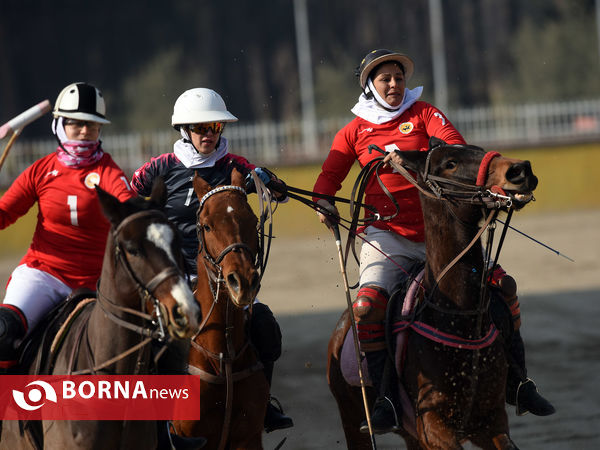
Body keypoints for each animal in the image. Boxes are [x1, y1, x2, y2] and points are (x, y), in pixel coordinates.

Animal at [328, 139, 540, 448]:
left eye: (478, 149)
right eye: (450, 163)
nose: (520, 170)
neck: (457, 319)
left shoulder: (492, 421)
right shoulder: (432, 425)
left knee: (507, 284)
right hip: (351, 415)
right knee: (367, 305)